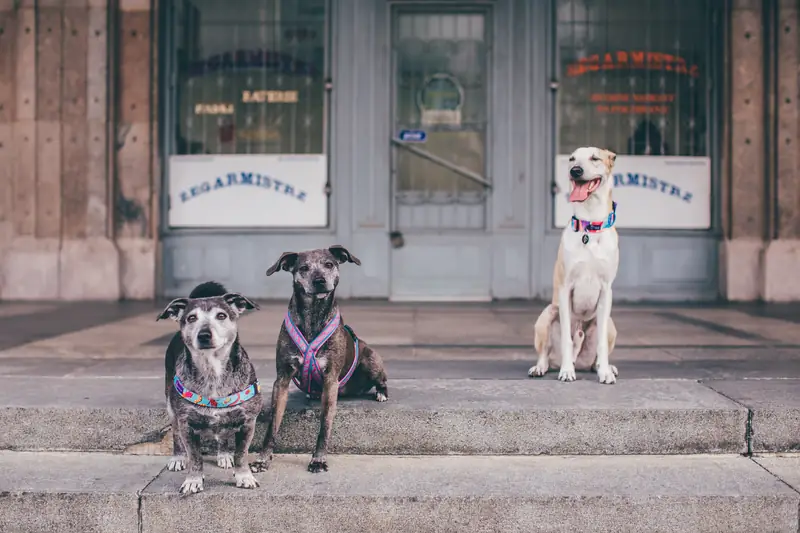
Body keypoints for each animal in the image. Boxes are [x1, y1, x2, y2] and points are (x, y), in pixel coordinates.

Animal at [158, 280, 264, 492]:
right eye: (191, 318)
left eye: (221, 315)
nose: (204, 335)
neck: (212, 370)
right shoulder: (186, 424)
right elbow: (195, 457)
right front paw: (193, 480)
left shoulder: (248, 422)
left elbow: (241, 454)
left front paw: (244, 476)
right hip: (171, 406)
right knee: (175, 434)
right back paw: (178, 458)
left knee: (222, 433)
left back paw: (223, 455)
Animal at [248, 245, 390, 474]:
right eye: (304, 268)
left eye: (329, 264)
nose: (320, 280)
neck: (312, 315)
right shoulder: (282, 379)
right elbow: (272, 425)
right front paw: (263, 459)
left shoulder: (330, 380)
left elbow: (325, 425)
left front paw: (318, 460)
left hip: (371, 359)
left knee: (382, 380)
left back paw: (381, 393)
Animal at [528, 148, 620, 384]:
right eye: (571, 159)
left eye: (595, 158)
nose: (575, 171)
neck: (589, 226)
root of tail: (582, 362)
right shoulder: (565, 287)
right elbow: (567, 341)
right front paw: (567, 371)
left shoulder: (606, 290)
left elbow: (601, 344)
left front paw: (605, 373)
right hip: (547, 314)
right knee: (545, 353)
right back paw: (541, 367)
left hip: (610, 323)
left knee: (596, 356)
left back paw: (604, 367)